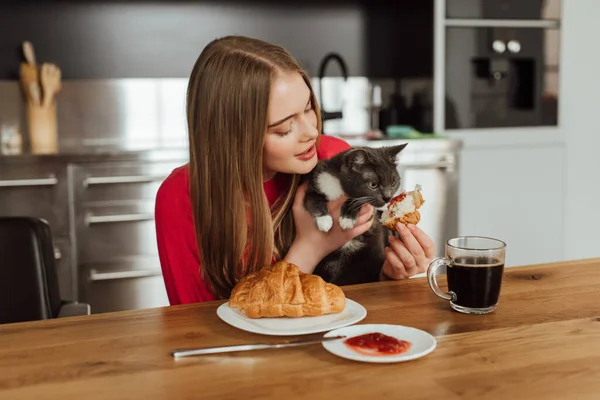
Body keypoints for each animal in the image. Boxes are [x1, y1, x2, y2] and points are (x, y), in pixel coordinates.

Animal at [302, 143, 406, 284]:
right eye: (373, 184)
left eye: (393, 182)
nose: (387, 197)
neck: (340, 186)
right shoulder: (316, 182)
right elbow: (313, 198)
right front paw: (324, 221)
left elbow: (359, 200)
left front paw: (347, 219)